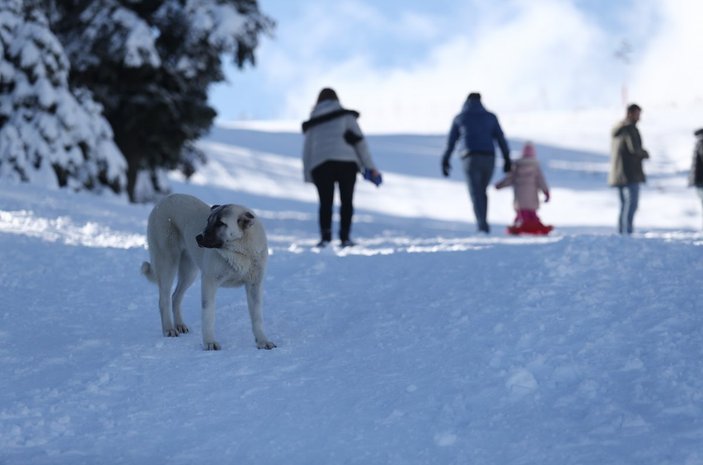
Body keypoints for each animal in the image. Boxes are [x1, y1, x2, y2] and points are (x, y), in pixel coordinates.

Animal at [142, 194, 276, 350]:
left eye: (220, 223)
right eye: (208, 221)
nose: (198, 238)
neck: (240, 252)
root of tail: (165, 199)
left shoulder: (254, 285)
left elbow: (257, 318)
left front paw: (263, 341)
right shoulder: (209, 281)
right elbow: (208, 315)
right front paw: (210, 342)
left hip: (189, 272)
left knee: (175, 297)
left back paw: (180, 325)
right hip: (167, 264)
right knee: (164, 299)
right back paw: (169, 329)